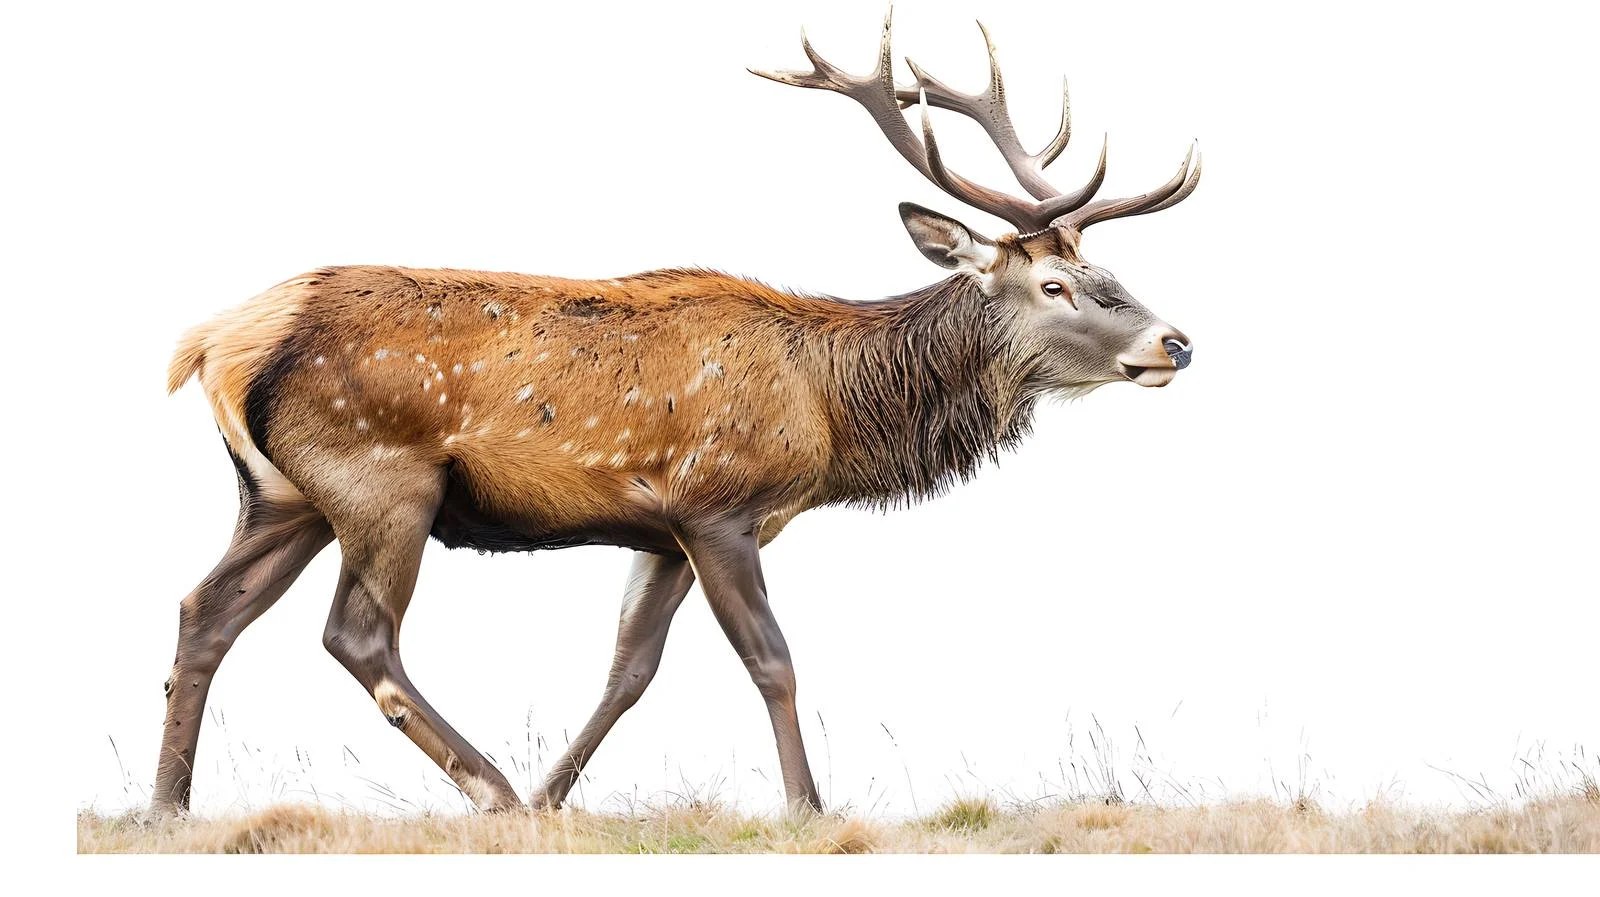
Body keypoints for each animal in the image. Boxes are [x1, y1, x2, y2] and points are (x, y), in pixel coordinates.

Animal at [152, 12, 1200, 817]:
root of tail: (214, 340)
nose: (1175, 342)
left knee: (207, 609)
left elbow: (629, 669)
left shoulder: (658, 531)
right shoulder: (719, 503)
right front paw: (808, 808)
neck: (829, 410)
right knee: (356, 636)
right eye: (1057, 285)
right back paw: (489, 790)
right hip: (379, 477)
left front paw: (556, 797)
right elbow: (772, 660)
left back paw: (168, 805)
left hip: (283, 494)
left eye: (1109, 273)